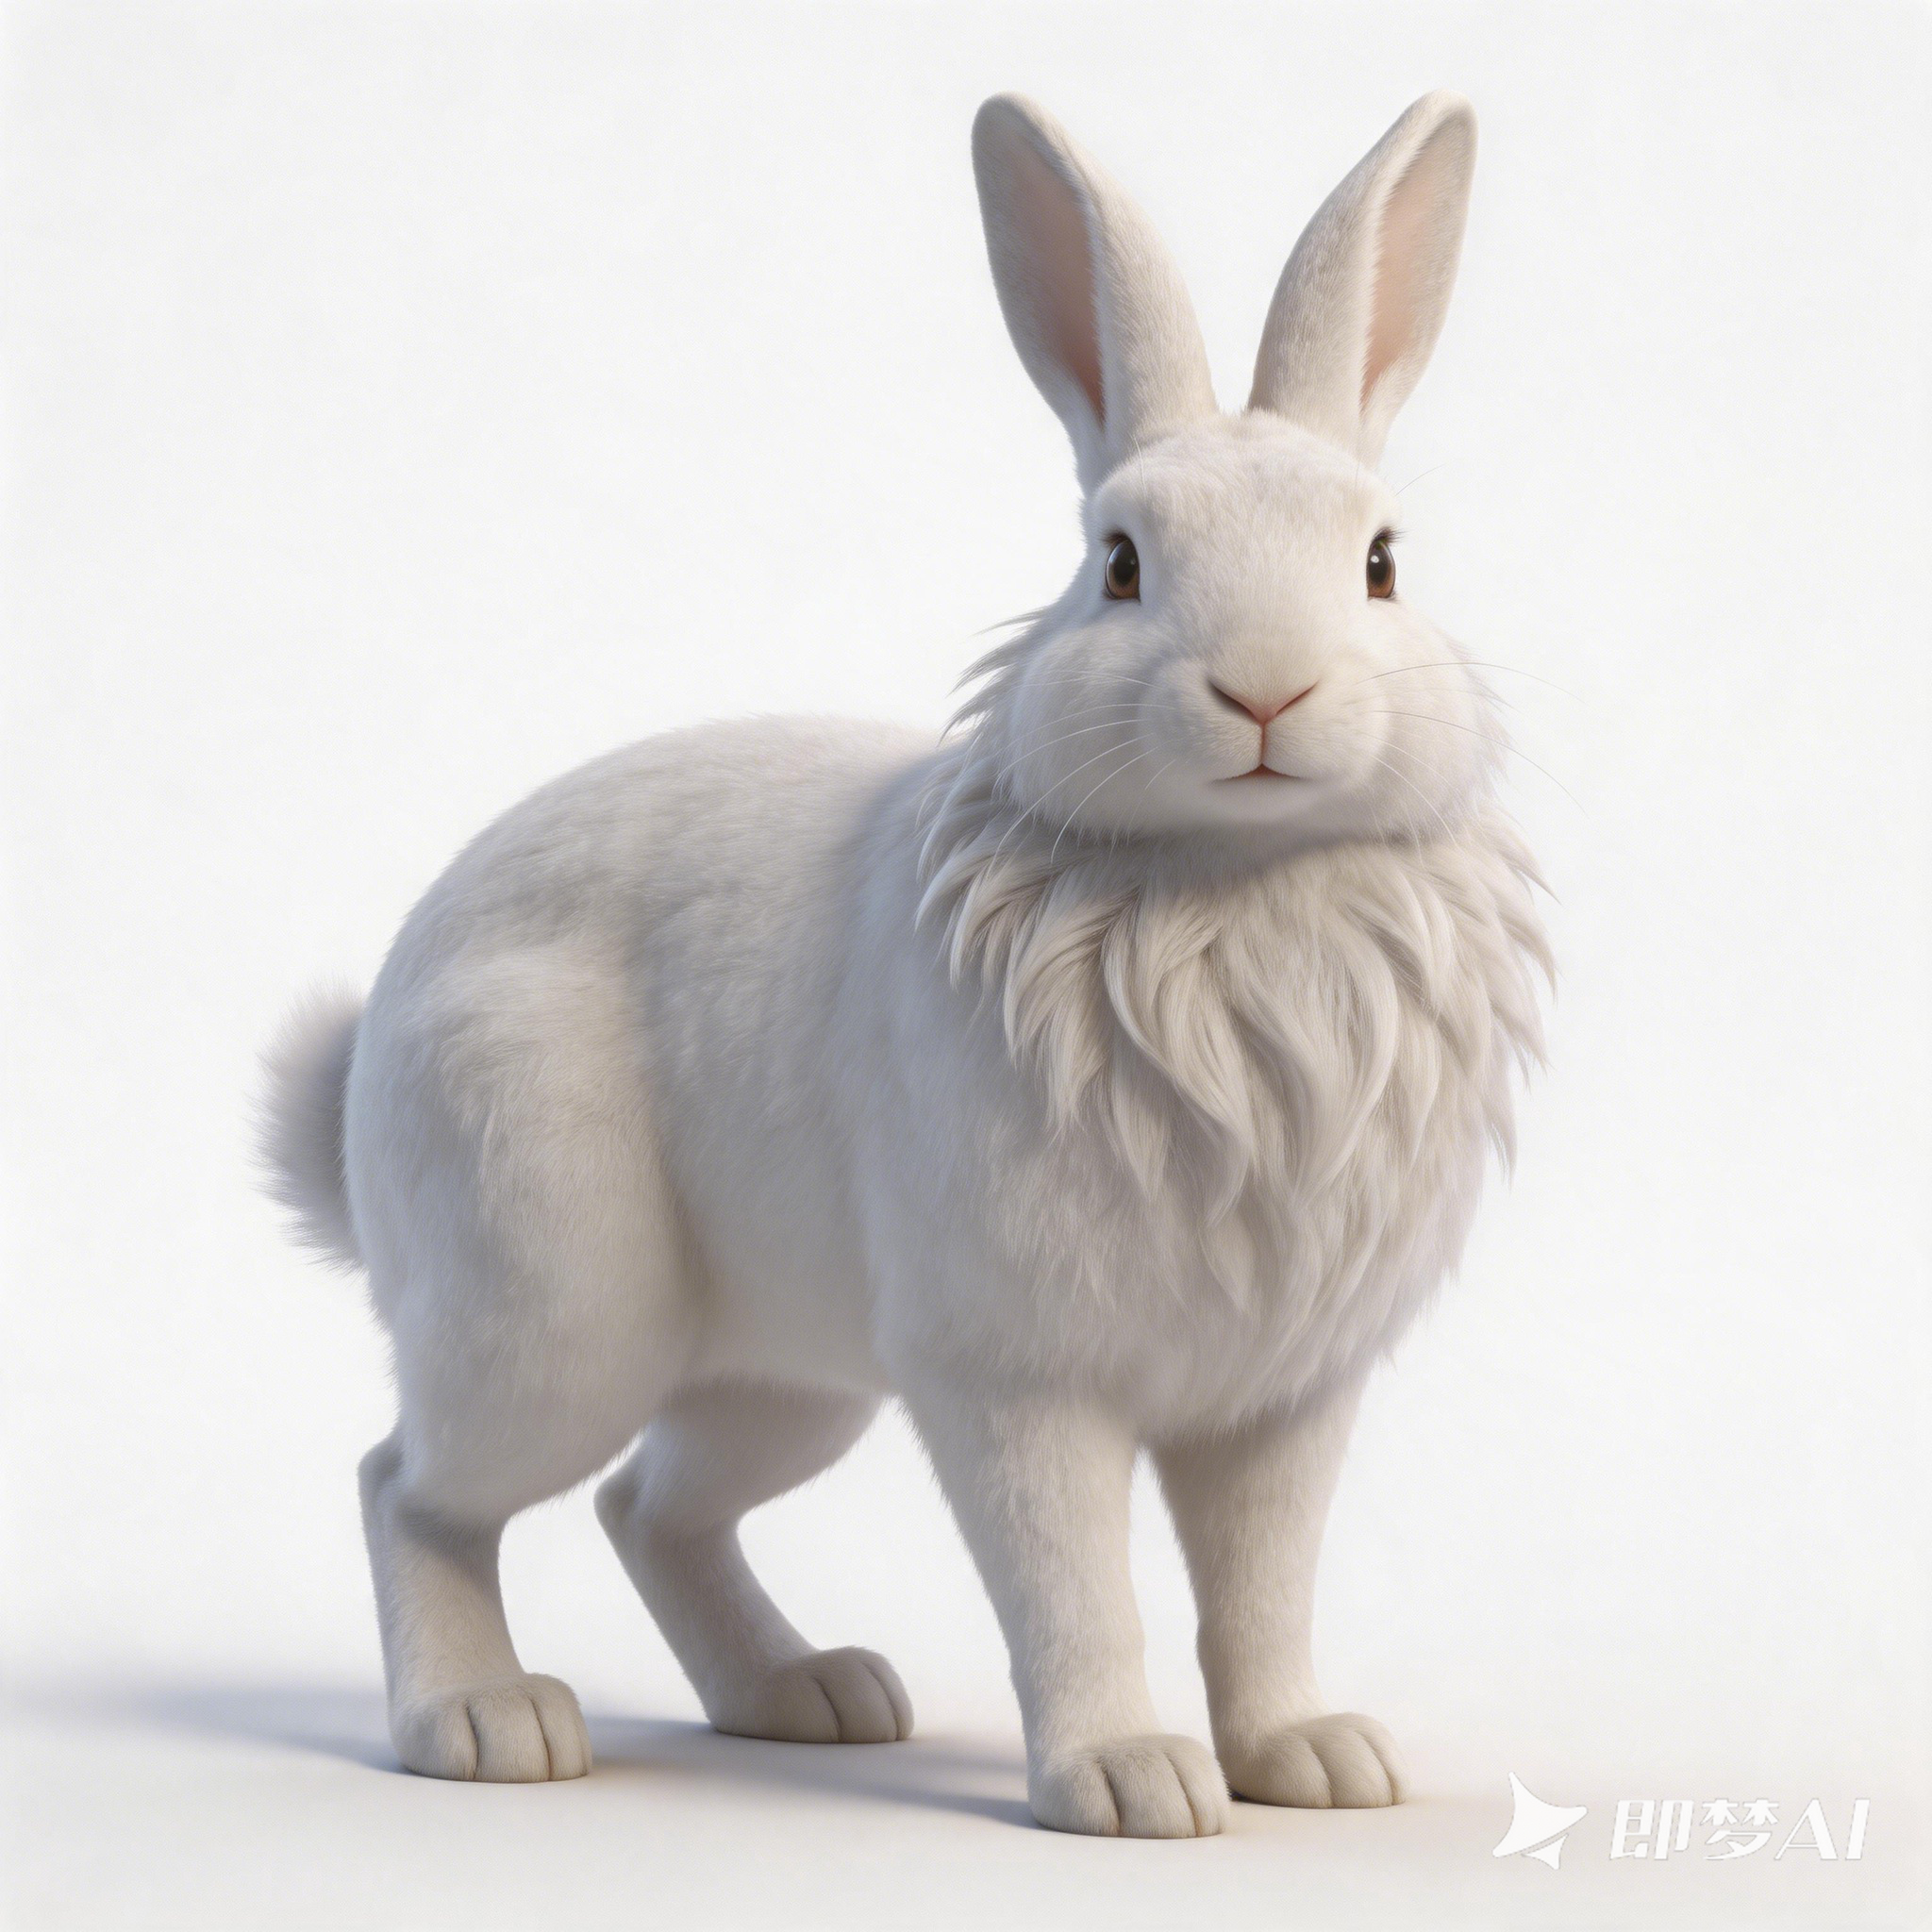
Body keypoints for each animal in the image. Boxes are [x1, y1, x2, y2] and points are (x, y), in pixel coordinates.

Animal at [260, 89, 1549, 1839]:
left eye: (1381, 564)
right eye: (1117, 562)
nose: (1265, 692)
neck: (1232, 892)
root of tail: (363, 1074)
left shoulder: (1280, 1395)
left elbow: (1259, 1588)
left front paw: (1313, 1763)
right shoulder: (1012, 1377)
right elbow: (1074, 1589)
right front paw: (1127, 1783)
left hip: (783, 1383)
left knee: (647, 1504)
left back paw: (807, 1697)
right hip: (548, 1309)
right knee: (414, 1483)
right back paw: (484, 1719)